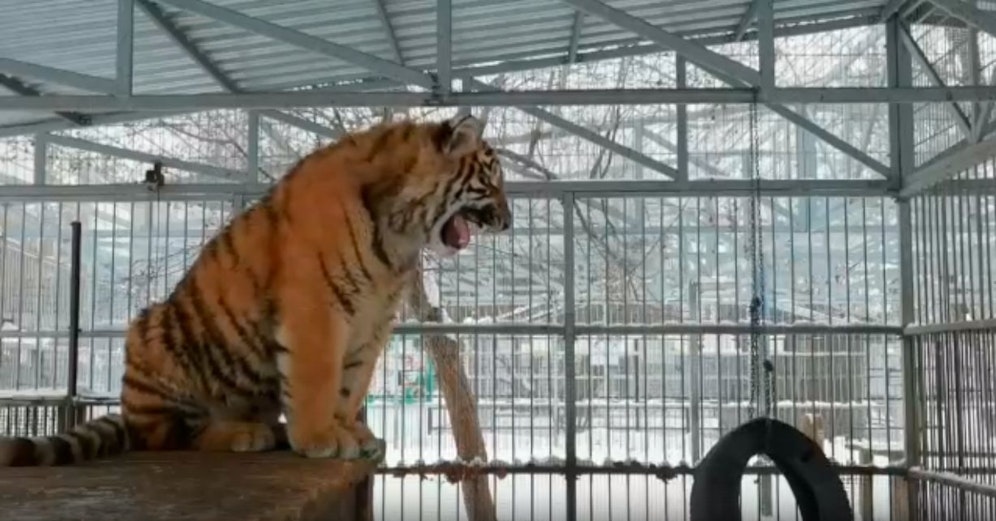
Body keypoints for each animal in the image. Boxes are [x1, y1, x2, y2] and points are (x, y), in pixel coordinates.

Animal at [0, 113, 511, 466]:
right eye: (490, 182)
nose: (508, 222)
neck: (399, 232)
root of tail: (128, 411)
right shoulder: (317, 306)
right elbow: (318, 378)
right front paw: (320, 438)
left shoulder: (374, 319)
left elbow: (352, 384)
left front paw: (353, 433)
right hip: (152, 339)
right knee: (172, 437)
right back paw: (246, 435)